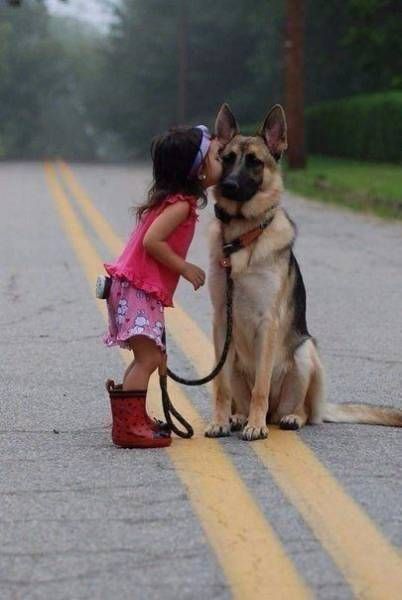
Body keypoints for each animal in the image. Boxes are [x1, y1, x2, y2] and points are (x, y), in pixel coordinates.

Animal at [206, 104, 402, 440]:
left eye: (255, 162)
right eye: (227, 158)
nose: (228, 186)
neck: (243, 237)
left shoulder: (267, 322)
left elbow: (260, 386)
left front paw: (256, 427)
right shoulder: (221, 320)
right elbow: (220, 386)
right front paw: (220, 421)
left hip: (305, 353)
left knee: (301, 411)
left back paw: (284, 418)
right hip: (236, 360)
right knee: (239, 397)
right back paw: (238, 417)